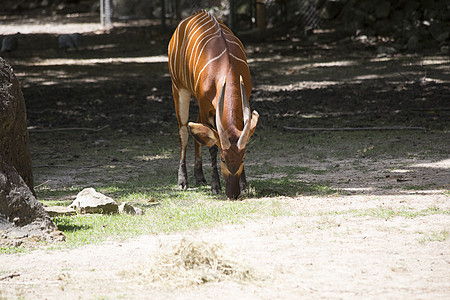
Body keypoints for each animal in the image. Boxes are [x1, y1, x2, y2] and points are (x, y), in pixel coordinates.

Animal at [168, 10, 260, 199]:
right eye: (223, 159)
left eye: (243, 157)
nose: (232, 193)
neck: (227, 67)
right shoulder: (205, 107)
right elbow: (211, 146)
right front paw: (215, 186)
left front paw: (244, 185)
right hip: (179, 88)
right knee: (184, 130)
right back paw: (183, 181)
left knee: (194, 127)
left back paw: (199, 176)